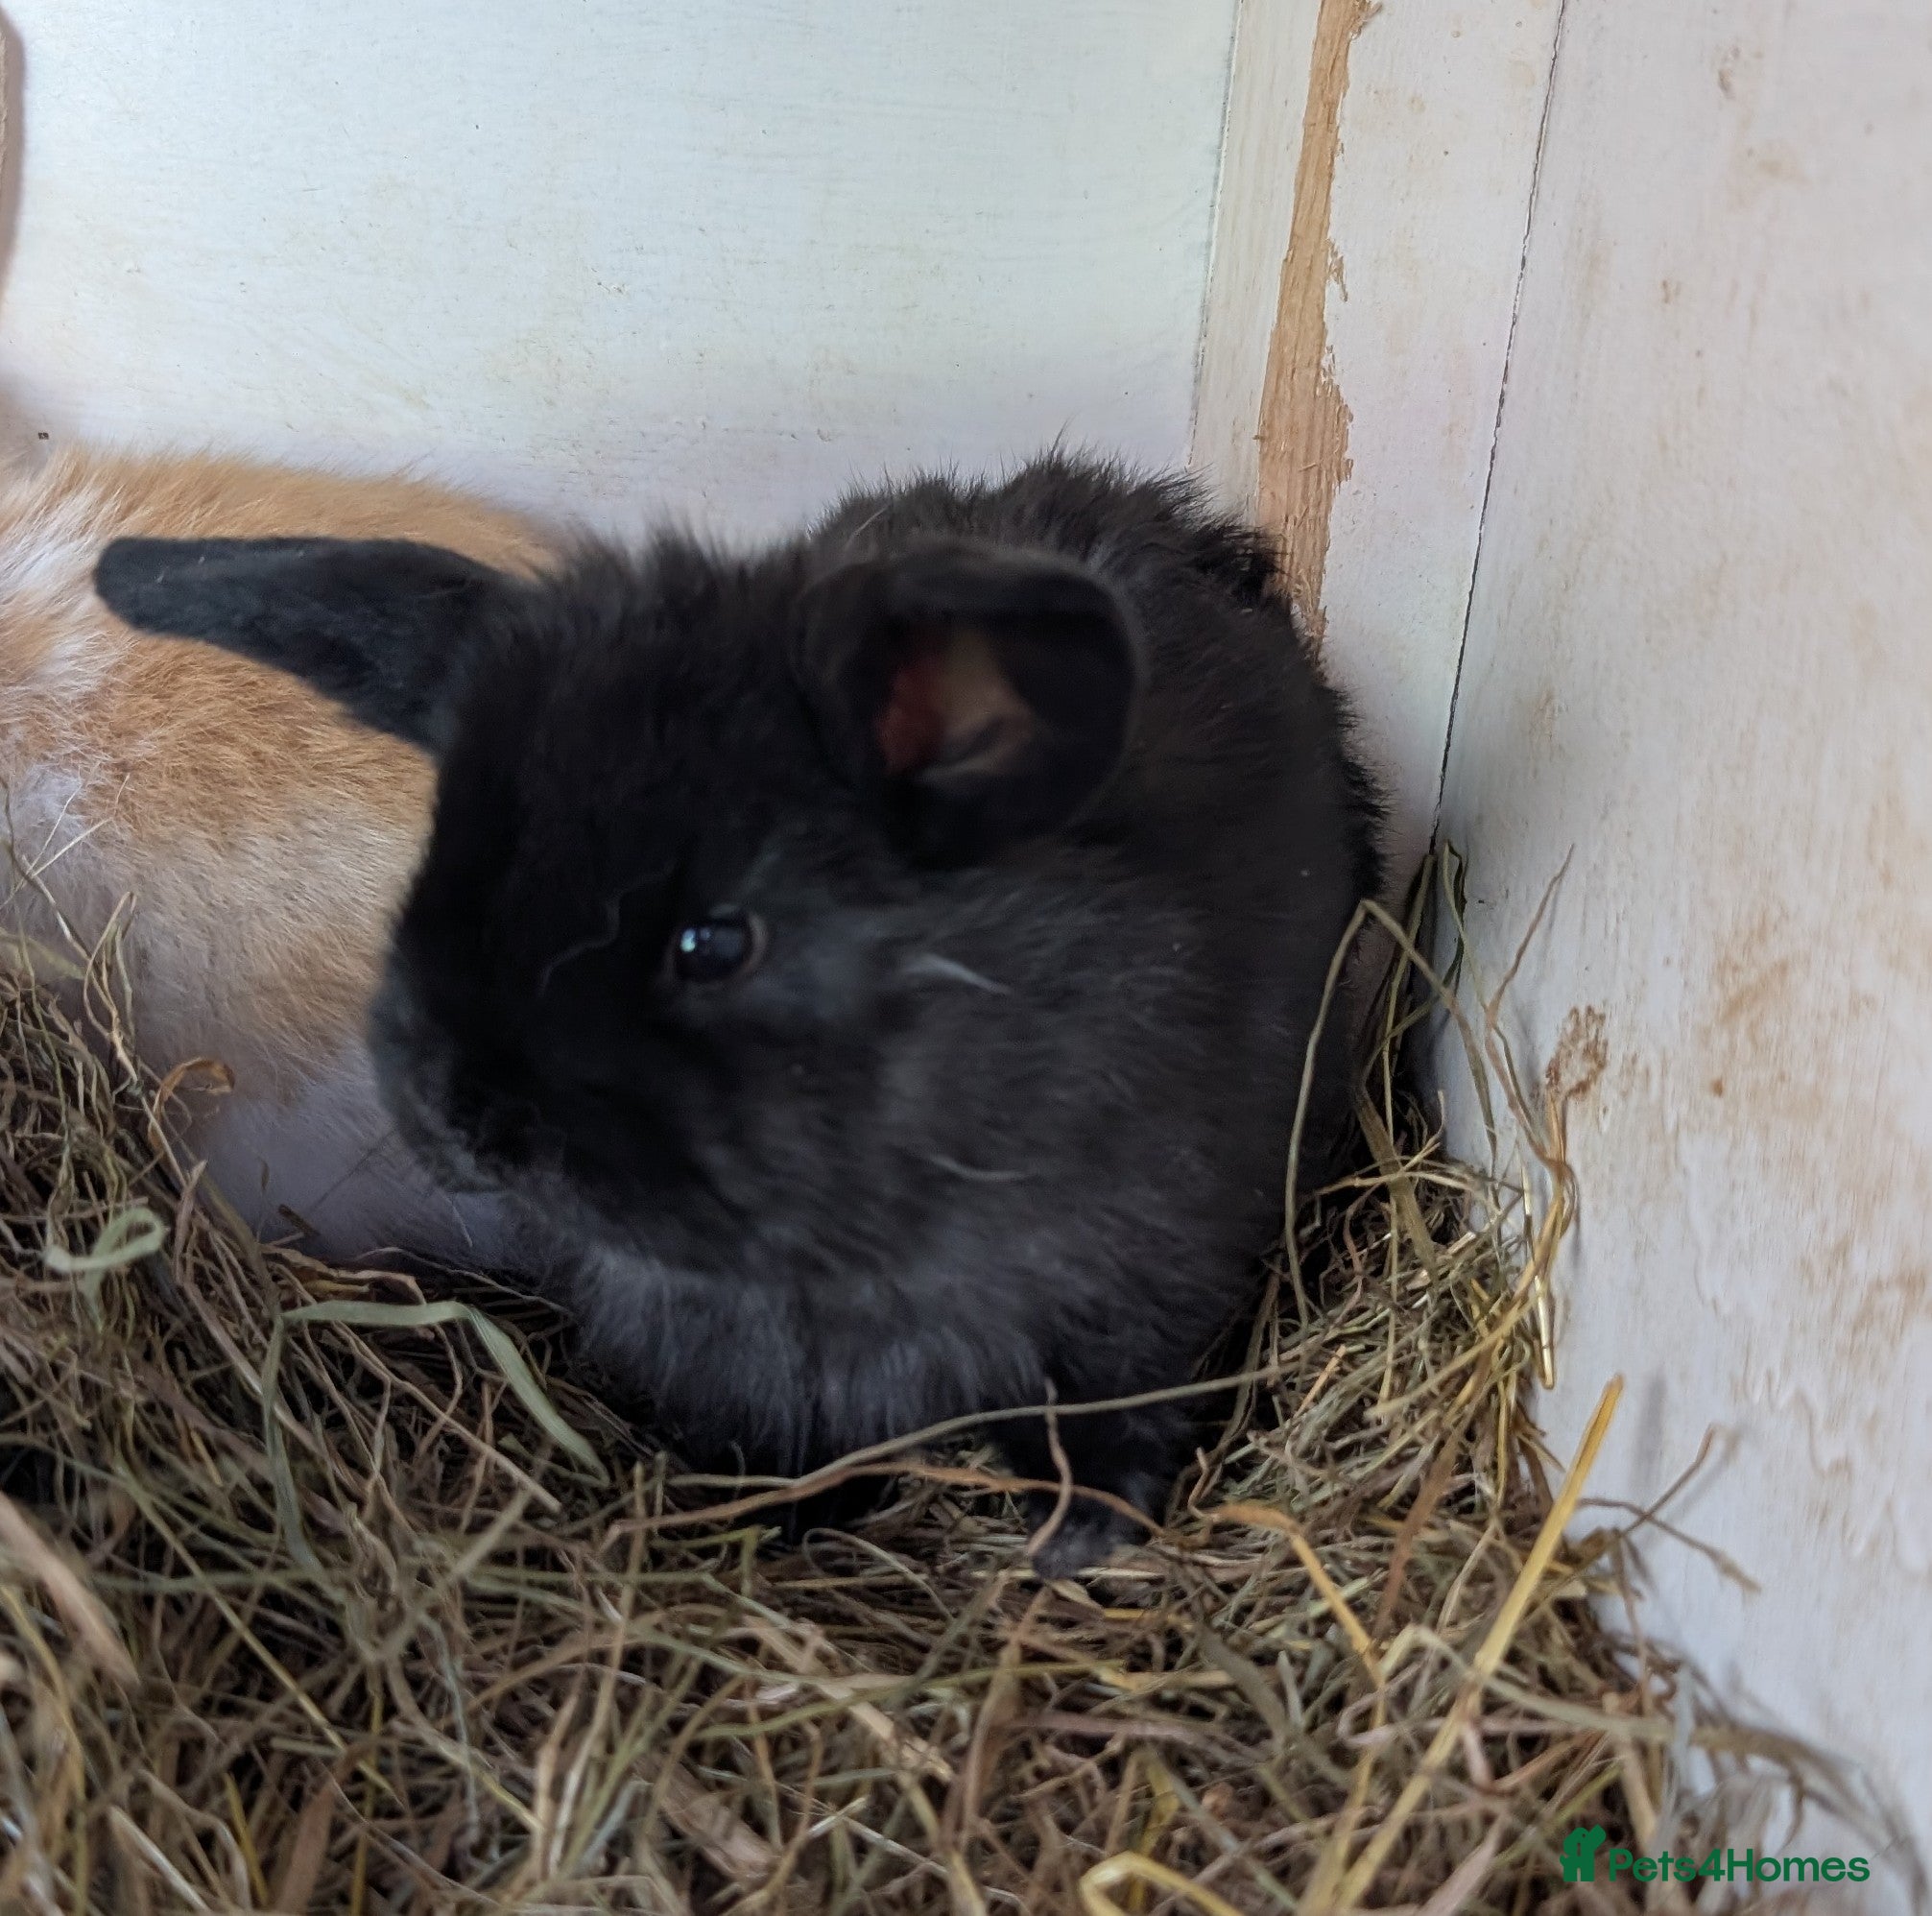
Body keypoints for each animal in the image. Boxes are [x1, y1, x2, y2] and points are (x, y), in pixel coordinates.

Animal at [95, 450, 1384, 1574]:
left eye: (713, 943)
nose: (459, 1120)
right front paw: (775, 1514)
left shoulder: (1133, 1283)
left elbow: (1114, 1411)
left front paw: (1087, 1536)